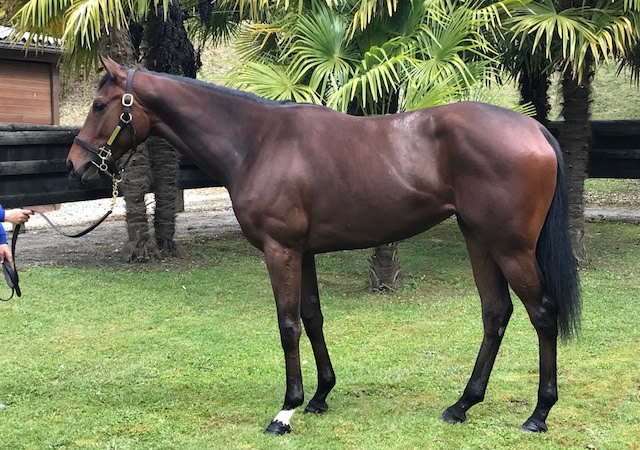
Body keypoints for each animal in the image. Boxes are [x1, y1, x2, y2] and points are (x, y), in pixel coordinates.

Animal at [66, 56, 581, 436]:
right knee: (496, 313)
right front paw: (319, 396)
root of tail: (534, 129)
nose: (75, 164)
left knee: (542, 313)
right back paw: (462, 405)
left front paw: (286, 410)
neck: (256, 141)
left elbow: (288, 324)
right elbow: (312, 317)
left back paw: (538, 414)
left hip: (511, 248)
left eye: (99, 104)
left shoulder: (280, 250)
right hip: (479, 239)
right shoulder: (304, 251)